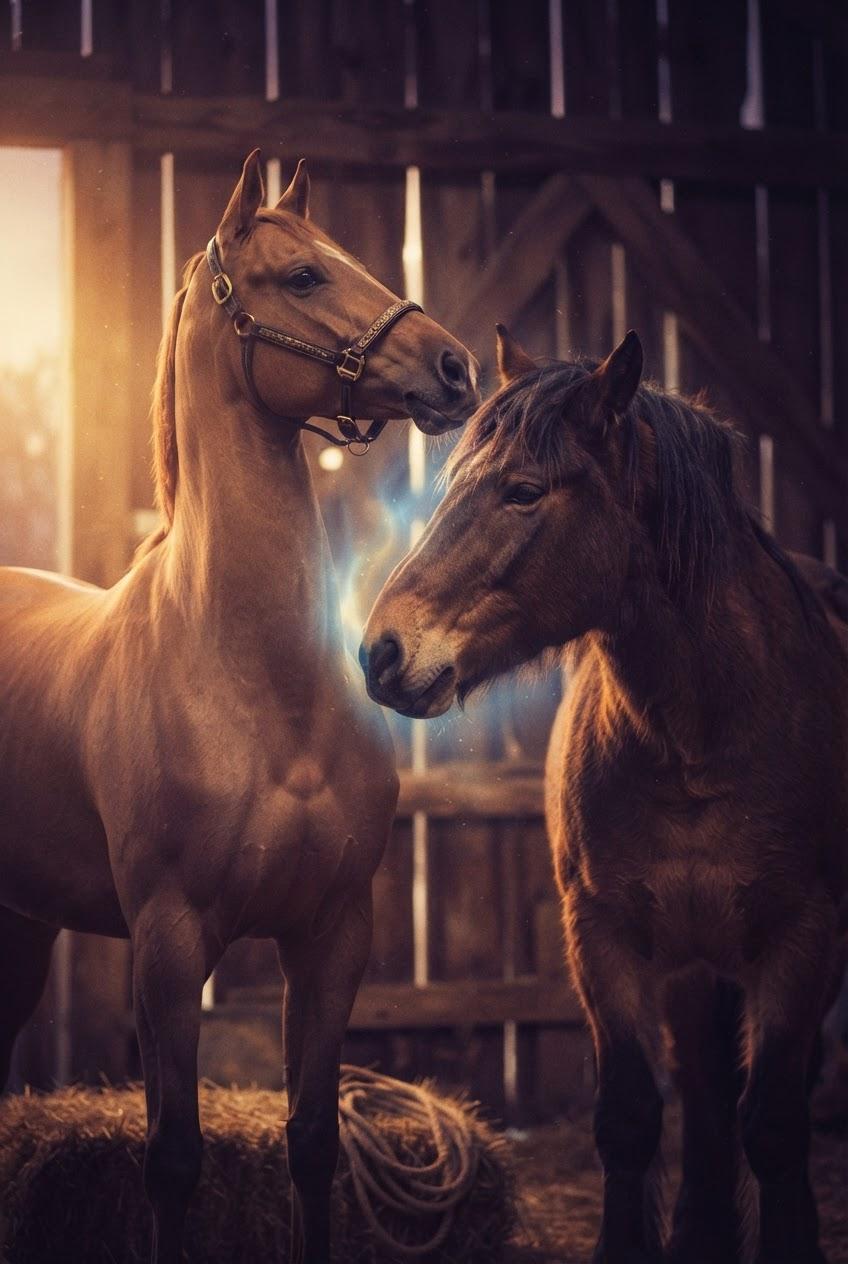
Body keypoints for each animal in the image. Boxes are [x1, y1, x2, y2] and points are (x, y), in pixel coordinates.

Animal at [0, 149, 479, 1264]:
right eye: (302, 275)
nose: (453, 368)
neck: (259, 689)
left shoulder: (331, 935)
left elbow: (312, 1142)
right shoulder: (172, 945)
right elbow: (173, 1159)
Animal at [361, 325, 847, 1264]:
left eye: (523, 491)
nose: (380, 653)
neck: (700, 740)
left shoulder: (802, 936)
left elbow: (772, 1123)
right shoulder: (604, 933)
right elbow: (630, 1118)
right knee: (703, 1090)